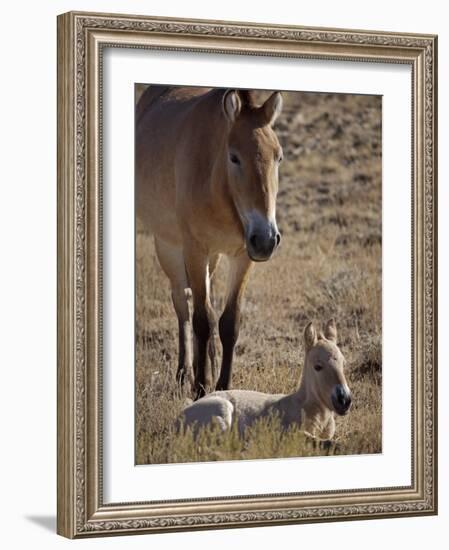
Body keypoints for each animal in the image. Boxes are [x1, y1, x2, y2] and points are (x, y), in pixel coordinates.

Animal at [136, 86, 284, 396]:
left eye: (278, 157)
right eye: (234, 157)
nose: (266, 239)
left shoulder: (241, 256)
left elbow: (228, 321)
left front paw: (222, 384)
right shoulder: (195, 250)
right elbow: (202, 320)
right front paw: (201, 388)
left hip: (214, 258)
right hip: (168, 246)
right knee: (183, 303)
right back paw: (184, 373)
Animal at [178, 322, 350, 442]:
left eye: (343, 362)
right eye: (318, 366)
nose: (344, 400)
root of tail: (177, 420)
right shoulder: (291, 433)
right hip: (222, 412)